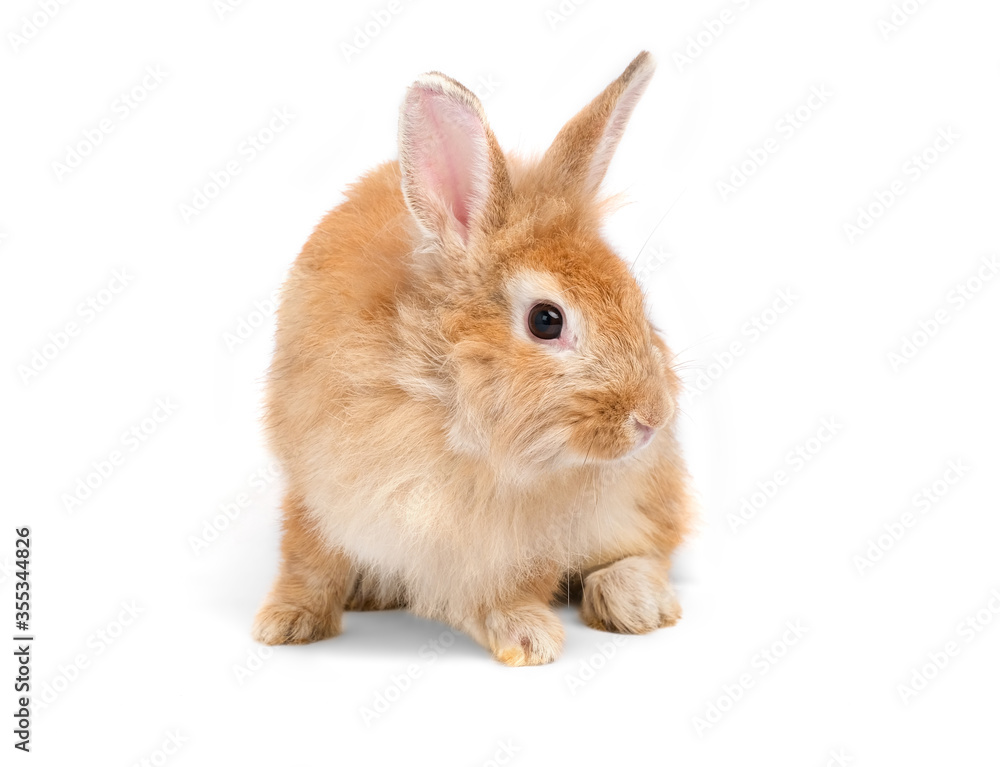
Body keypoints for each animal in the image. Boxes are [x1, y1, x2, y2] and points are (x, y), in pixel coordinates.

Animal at [251, 50, 694, 666]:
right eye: (546, 321)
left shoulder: (513, 542)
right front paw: (285, 625)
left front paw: (527, 638)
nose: (653, 418)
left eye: (634, 297)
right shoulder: (319, 492)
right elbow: (308, 559)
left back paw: (634, 601)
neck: (447, 395)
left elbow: (506, 587)